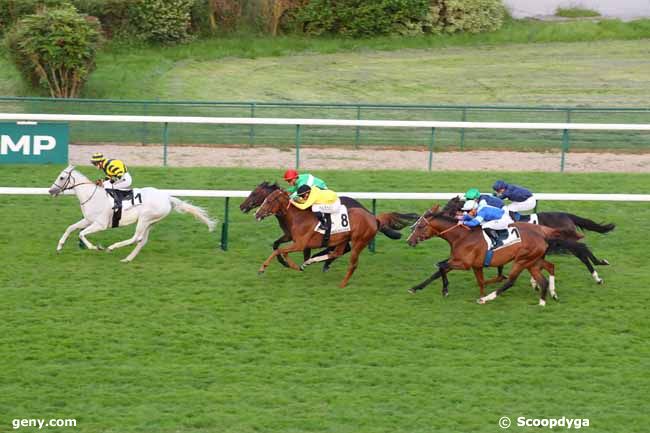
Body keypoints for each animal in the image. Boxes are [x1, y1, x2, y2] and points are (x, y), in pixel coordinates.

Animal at [48, 165, 215, 260]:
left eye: (61, 177)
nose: (51, 190)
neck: (93, 195)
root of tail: (167, 197)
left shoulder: (100, 224)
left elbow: (81, 234)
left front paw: (96, 247)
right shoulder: (88, 220)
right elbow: (70, 228)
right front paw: (59, 247)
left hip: (145, 218)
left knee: (136, 238)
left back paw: (112, 248)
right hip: (150, 222)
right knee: (142, 240)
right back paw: (128, 259)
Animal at [253, 189, 416, 286]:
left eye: (269, 201)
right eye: (264, 199)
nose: (256, 214)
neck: (298, 217)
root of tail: (373, 218)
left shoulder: (300, 243)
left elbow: (278, 251)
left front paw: (262, 269)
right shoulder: (296, 241)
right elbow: (281, 250)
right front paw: (296, 266)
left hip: (359, 242)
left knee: (352, 263)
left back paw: (342, 284)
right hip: (343, 239)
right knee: (336, 253)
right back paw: (313, 262)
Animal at [404, 205, 592, 304]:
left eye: (420, 226)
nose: (409, 241)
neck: (462, 236)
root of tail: (542, 232)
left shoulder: (464, 263)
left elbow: (441, 266)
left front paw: (445, 290)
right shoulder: (467, 262)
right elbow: (440, 270)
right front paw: (415, 288)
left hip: (522, 261)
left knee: (511, 281)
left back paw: (488, 298)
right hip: (533, 261)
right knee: (547, 273)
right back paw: (546, 297)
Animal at [438, 196, 612, 284]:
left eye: (450, 204)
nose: (438, 213)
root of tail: (567, 215)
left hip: (566, 241)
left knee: (582, 249)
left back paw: (598, 273)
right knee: (582, 250)